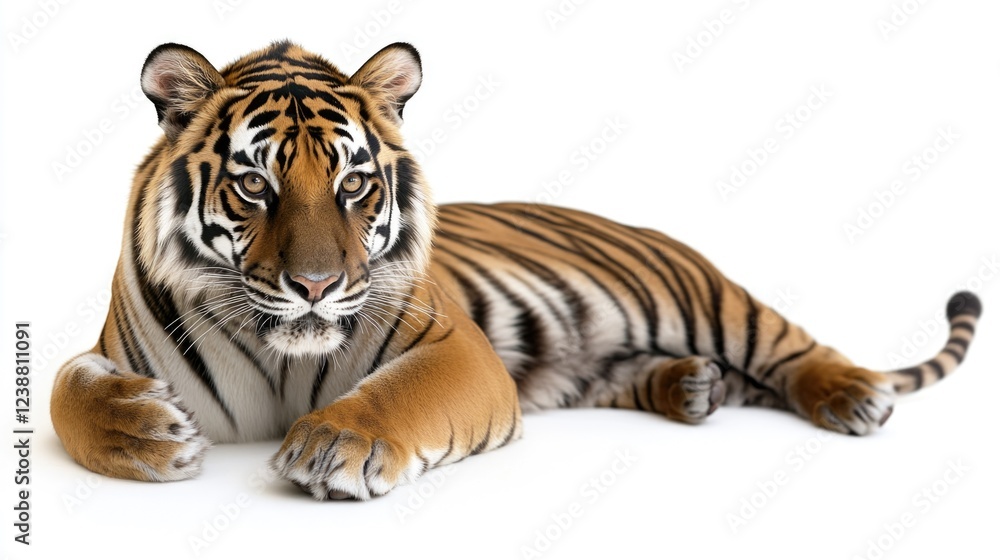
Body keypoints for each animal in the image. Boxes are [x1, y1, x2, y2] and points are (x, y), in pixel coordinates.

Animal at [51, 40, 982, 501]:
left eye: (353, 184)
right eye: (255, 185)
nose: (315, 286)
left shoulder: (454, 346)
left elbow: (396, 394)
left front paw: (335, 445)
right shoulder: (114, 350)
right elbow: (64, 393)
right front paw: (147, 435)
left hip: (712, 298)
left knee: (792, 348)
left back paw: (852, 396)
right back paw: (691, 387)